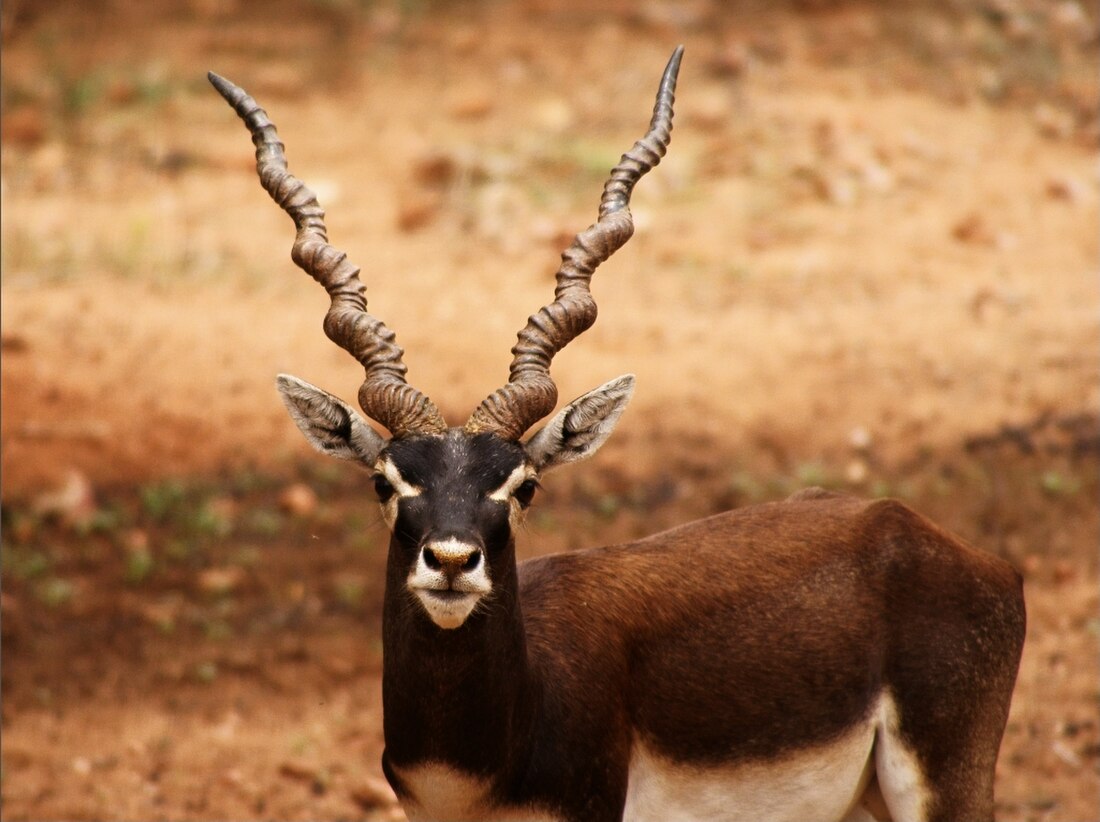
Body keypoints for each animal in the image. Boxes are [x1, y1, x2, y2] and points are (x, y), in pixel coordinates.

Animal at [210, 49, 1025, 822]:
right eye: (386, 480)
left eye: (523, 486)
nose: (451, 561)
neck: (478, 769)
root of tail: (925, 535)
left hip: (943, 786)